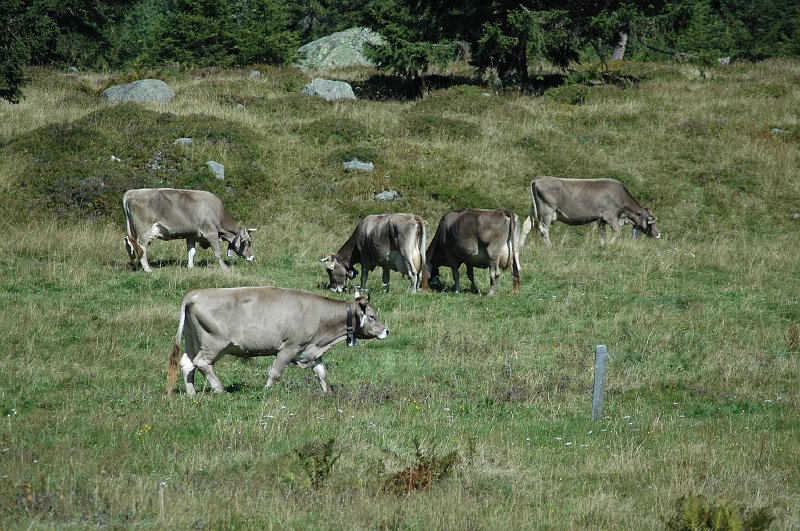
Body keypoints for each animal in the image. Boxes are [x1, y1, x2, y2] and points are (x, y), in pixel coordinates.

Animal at [122, 189, 256, 272]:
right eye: (248, 242)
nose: (253, 258)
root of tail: (132, 192)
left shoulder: (191, 235)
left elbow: (192, 252)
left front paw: (191, 267)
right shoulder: (211, 232)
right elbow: (218, 252)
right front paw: (225, 268)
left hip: (133, 230)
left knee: (128, 242)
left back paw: (134, 265)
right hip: (144, 230)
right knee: (142, 247)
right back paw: (148, 269)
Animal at [166, 286, 388, 394]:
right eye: (372, 316)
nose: (386, 331)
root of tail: (196, 293)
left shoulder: (311, 349)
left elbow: (322, 373)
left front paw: (329, 394)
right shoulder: (290, 347)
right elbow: (275, 372)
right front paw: (266, 392)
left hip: (193, 341)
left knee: (187, 364)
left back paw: (192, 393)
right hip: (214, 342)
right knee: (202, 363)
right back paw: (219, 390)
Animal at [520, 178, 664, 246]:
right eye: (652, 222)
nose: (658, 234)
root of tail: (538, 179)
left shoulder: (601, 219)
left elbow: (602, 234)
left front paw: (602, 245)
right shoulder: (610, 216)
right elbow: (617, 232)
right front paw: (610, 244)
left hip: (534, 210)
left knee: (527, 225)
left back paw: (520, 245)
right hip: (547, 210)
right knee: (544, 228)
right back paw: (549, 246)